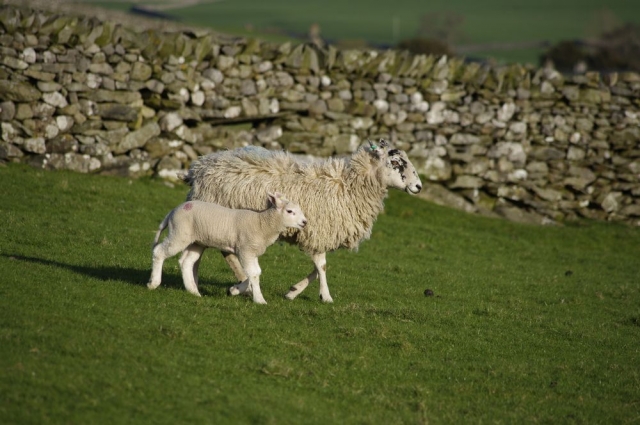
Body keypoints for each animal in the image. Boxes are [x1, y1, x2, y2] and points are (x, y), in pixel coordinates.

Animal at [147, 192, 308, 304]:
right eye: (290, 211)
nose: (305, 222)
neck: (262, 224)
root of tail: (173, 210)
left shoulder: (251, 252)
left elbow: (254, 273)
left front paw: (235, 290)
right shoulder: (245, 249)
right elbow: (254, 274)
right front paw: (260, 300)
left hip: (196, 242)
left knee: (186, 262)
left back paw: (193, 291)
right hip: (179, 233)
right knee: (159, 251)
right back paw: (153, 283)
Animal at [182, 139, 423, 303]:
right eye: (396, 161)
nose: (418, 186)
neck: (348, 187)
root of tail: (201, 166)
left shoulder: (318, 235)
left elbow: (318, 268)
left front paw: (293, 292)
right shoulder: (318, 230)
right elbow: (322, 267)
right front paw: (326, 296)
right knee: (222, 253)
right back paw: (237, 286)